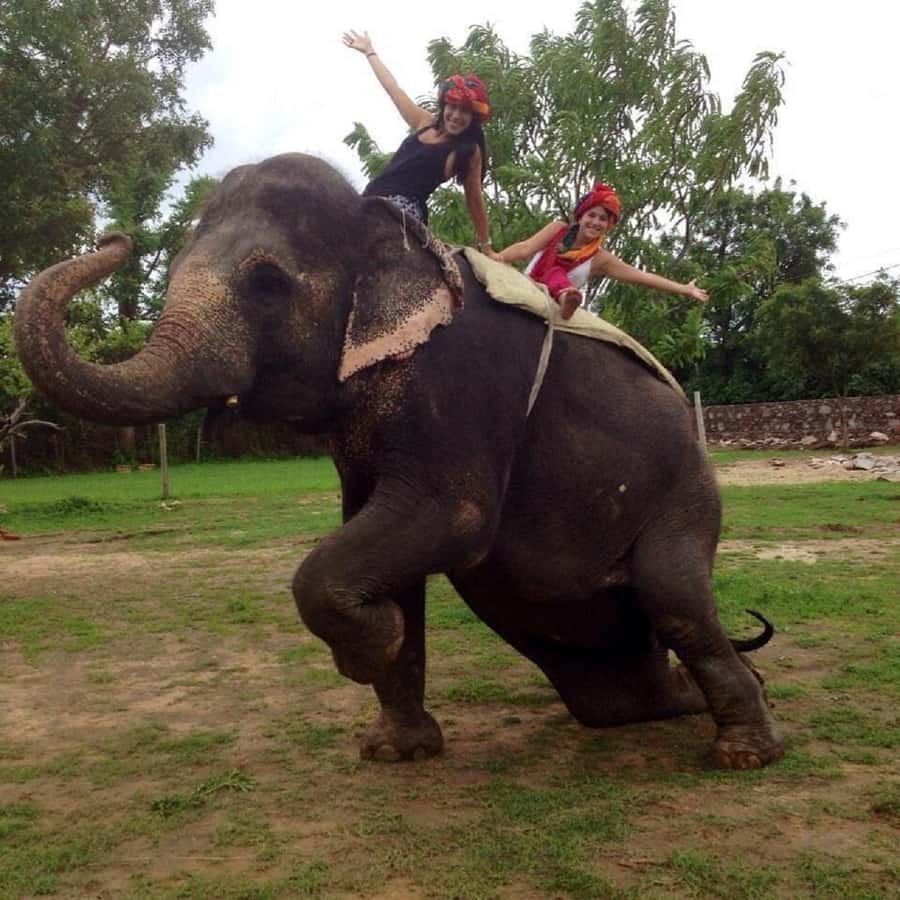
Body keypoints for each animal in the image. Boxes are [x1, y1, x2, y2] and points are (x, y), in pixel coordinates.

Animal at [15, 152, 783, 770]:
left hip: (686, 494)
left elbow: (452, 519)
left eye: (267, 283)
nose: (114, 238)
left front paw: (370, 647)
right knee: (610, 687)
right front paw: (396, 744)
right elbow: (380, 539)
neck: (385, 233)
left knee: (673, 598)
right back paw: (710, 698)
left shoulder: (462, 385)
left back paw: (745, 752)